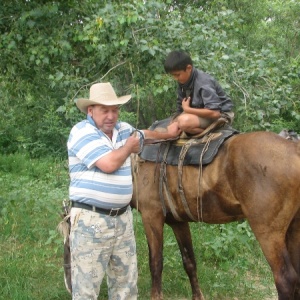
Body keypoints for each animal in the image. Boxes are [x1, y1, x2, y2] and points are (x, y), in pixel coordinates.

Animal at [130, 129, 300, 300]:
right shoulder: (178, 222)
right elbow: (189, 261)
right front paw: (198, 296)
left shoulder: (151, 216)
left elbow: (156, 263)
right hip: (293, 230)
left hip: (268, 232)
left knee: (285, 279)